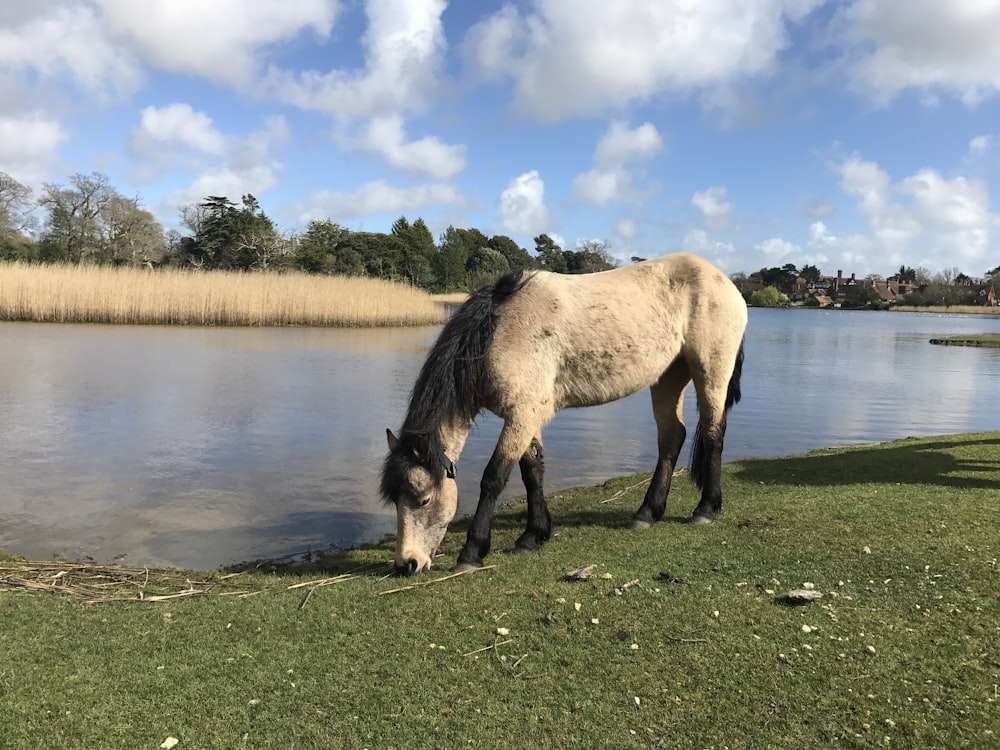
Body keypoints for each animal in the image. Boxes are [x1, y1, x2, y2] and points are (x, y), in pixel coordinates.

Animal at [378, 253, 748, 576]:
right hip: (669, 376)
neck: (498, 331)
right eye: (395, 499)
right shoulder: (526, 416)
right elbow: (532, 472)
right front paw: (533, 536)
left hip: (711, 372)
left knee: (713, 432)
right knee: (672, 438)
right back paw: (647, 513)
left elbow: (494, 477)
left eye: (423, 499)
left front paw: (472, 553)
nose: (407, 563)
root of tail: (724, 282)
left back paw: (706, 509)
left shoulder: (521, 415)